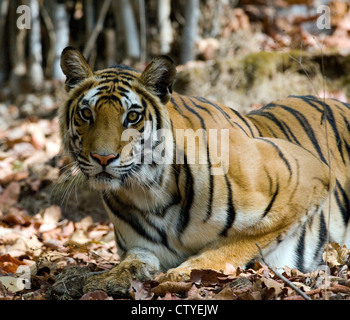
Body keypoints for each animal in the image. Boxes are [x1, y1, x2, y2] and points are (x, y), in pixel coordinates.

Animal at [58, 46, 348, 296]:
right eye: (86, 114)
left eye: (132, 117)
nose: (103, 157)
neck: (148, 190)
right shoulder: (141, 246)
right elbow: (133, 261)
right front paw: (107, 278)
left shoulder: (308, 177)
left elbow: (236, 242)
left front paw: (180, 273)